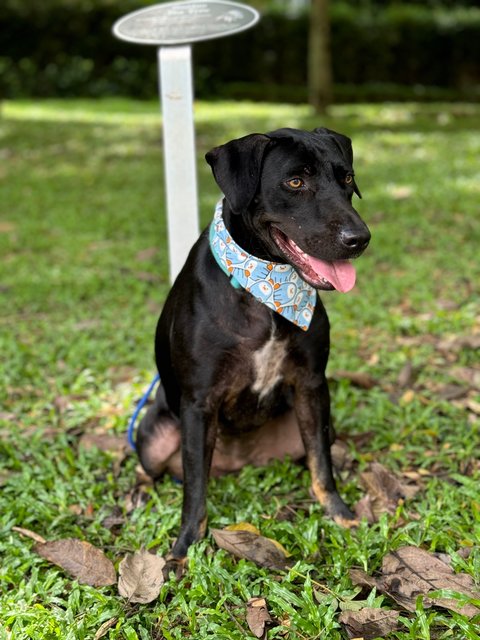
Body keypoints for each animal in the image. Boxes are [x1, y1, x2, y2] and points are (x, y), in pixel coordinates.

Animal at [137, 126, 370, 560]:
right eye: (294, 182)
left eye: (346, 178)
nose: (360, 239)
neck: (265, 288)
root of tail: (238, 463)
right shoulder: (198, 403)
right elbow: (195, 488)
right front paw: (185, 544)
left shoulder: (312, 385)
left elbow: (321, 464)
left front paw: (340, 513)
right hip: (151, 438)